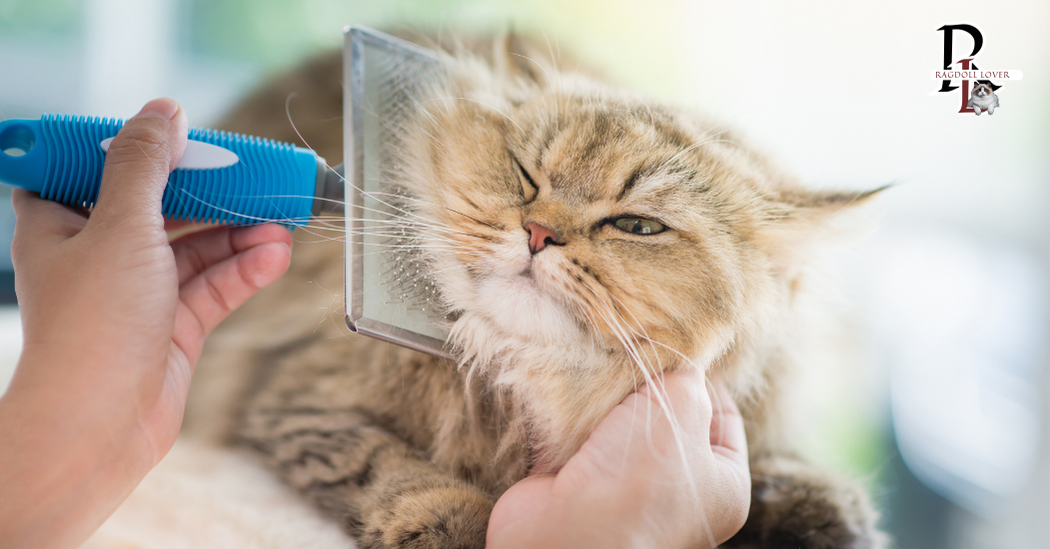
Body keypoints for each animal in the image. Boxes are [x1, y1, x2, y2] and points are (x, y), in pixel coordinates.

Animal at [186, 31, 886, 549]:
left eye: (636, 226)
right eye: (525, 176)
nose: (538, 233)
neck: (526, 381)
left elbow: (788, 474)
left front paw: (819, 512)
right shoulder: (295, 399)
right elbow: (393, 470)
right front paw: (452, 525)